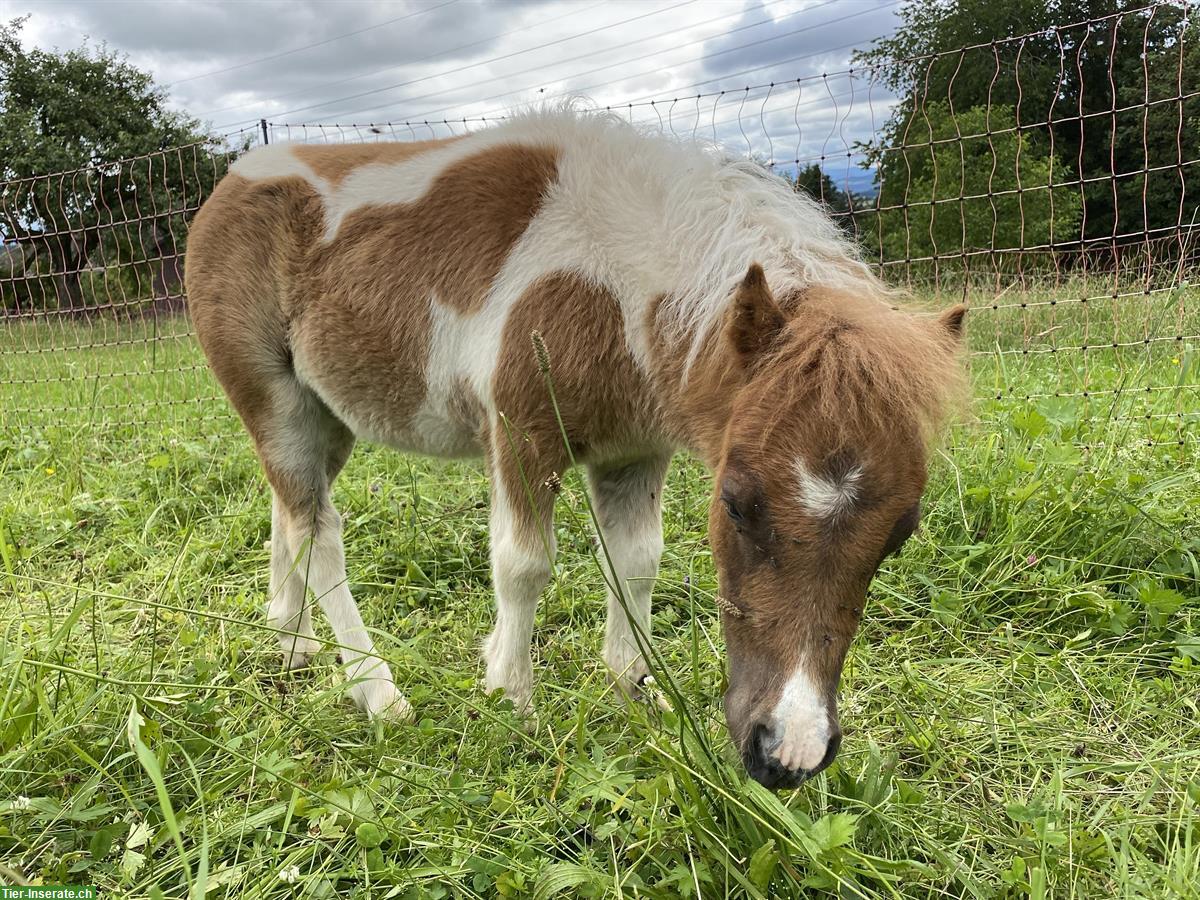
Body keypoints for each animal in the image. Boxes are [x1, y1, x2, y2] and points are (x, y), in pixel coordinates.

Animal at [184, 111, 964, 787]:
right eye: (738, 504)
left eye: (902, 531)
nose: (788, 755)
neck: (618, 287)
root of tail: (229, 182)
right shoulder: (521, 433)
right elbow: (524, 564)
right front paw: (512, 698)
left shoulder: (634, 452)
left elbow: (637, 561)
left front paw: (635, 690)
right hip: (273, 398)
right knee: (320, 531)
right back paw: (378, 693)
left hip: (328, 415)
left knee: (289, 511)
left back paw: (292, 643)